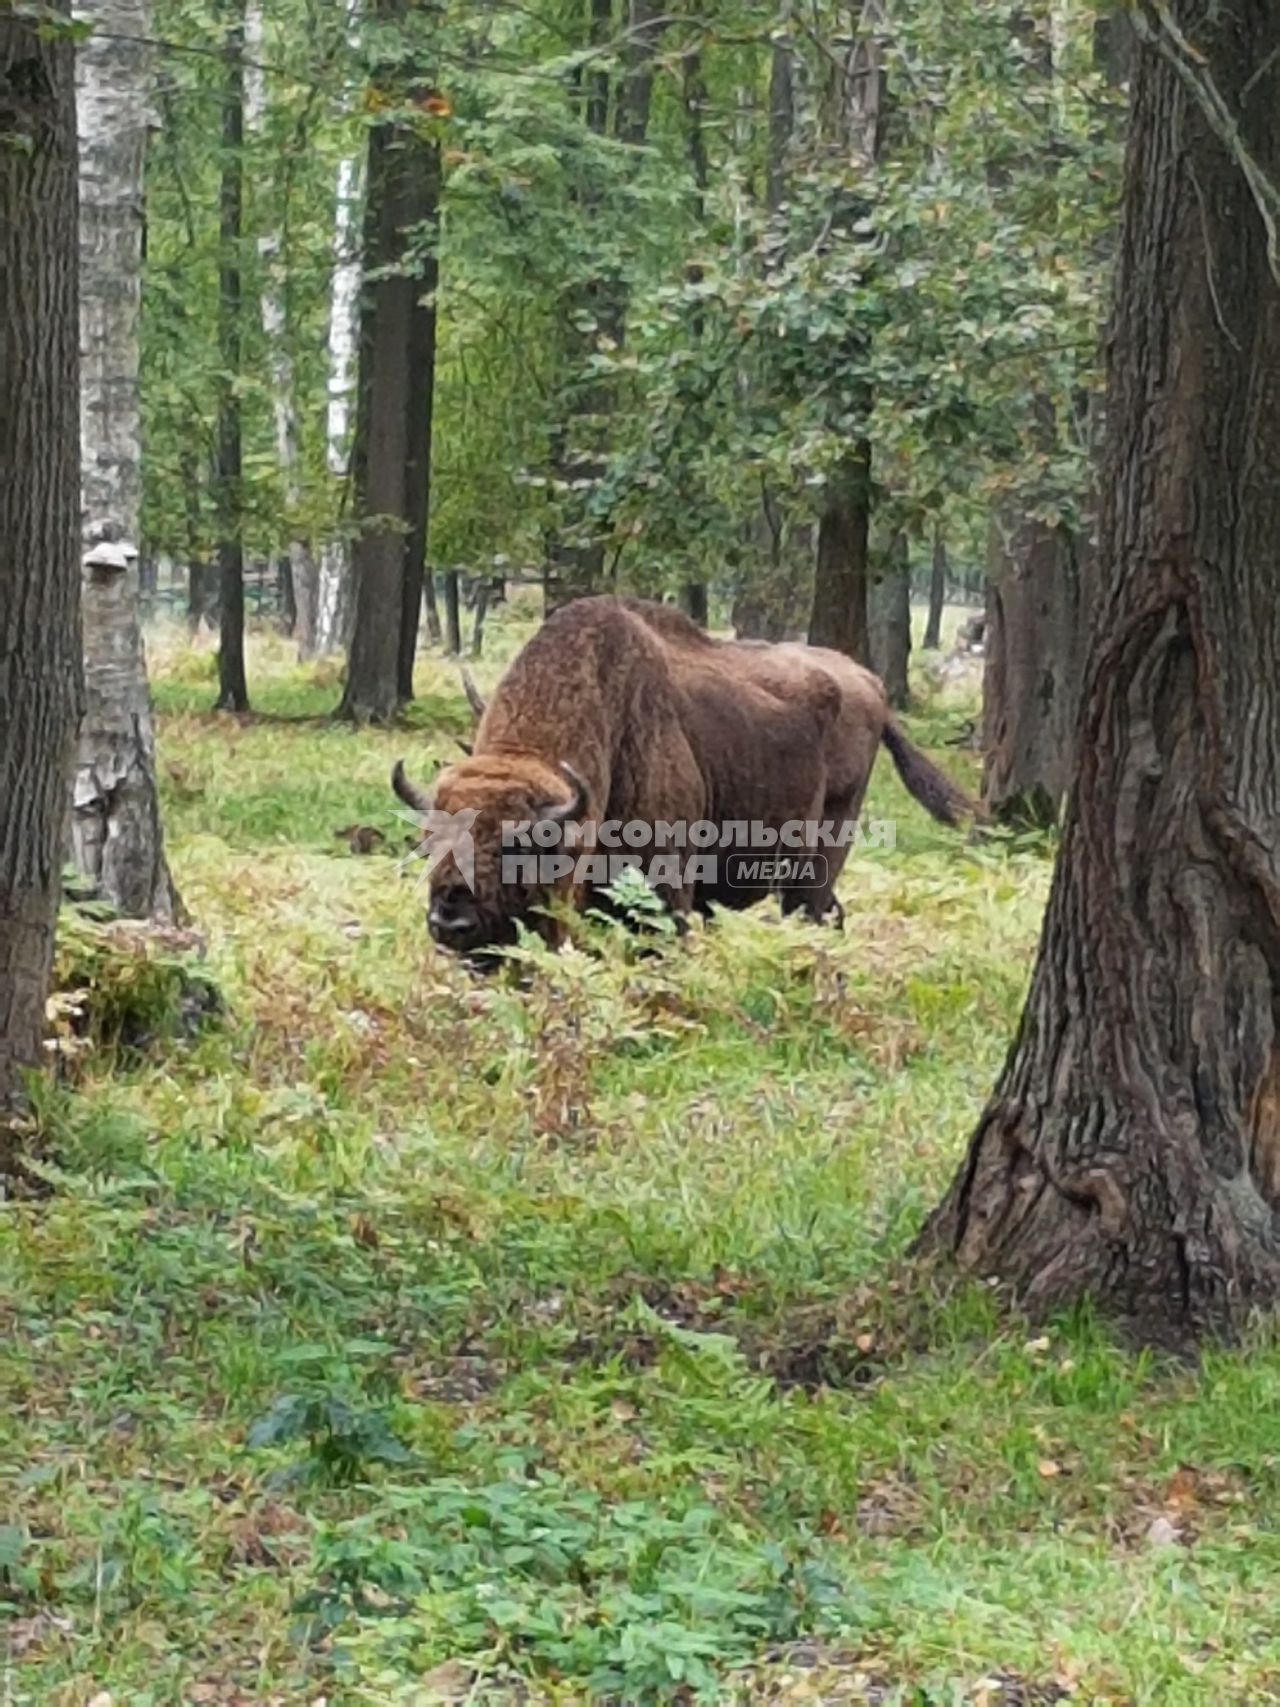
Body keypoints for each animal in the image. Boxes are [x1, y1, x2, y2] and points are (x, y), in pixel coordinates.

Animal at [395, 597, 976, 969]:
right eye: (430, 841)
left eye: (515, 844)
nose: (450, 920)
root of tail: (870, 684)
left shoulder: (665, 890)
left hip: (821, 856)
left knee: (813, 911)